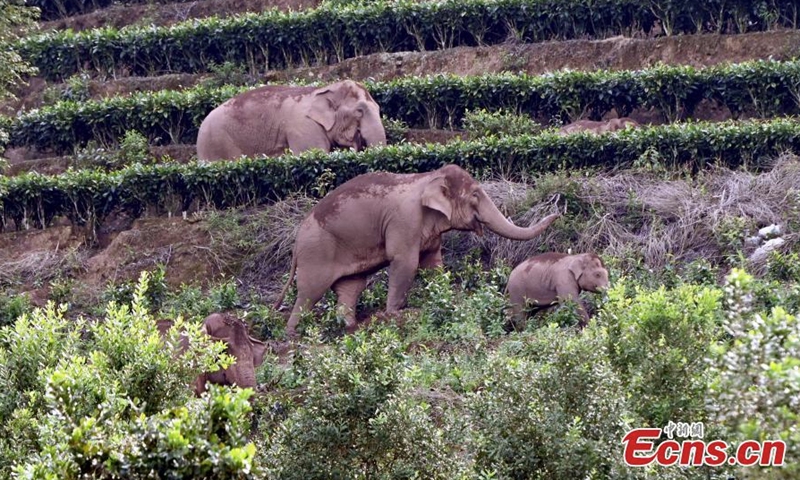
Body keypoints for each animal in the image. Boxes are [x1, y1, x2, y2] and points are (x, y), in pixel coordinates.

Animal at [273, 164, 561, 339]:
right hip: (317, 252)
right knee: (309, 293)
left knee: (350, 287)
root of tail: (296, 241)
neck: (428, 176)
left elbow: (433, 266)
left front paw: (445, 299)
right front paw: (393, 316)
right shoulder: (404, 221)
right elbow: (405, 263)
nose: (557, 211)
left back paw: (349, 328)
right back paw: (291, 336)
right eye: (475, 195)